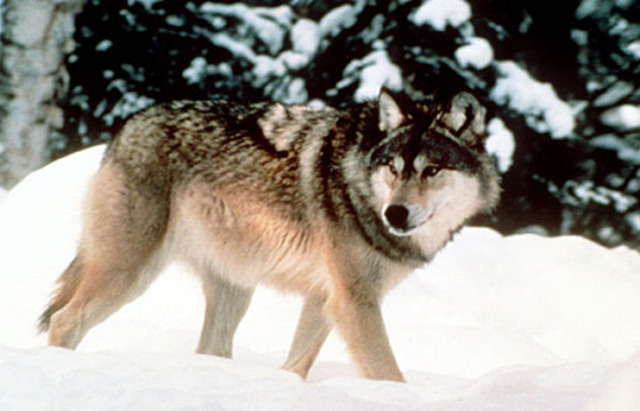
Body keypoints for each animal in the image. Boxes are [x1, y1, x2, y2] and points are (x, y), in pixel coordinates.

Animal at [39, 88, 500, 382]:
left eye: (431, 170)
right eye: (394, 168)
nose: (396, 213)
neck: (357, 180)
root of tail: (126, 127)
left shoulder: (325, 299)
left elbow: (296, 364)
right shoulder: (354, 302)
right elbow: (388, 374)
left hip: (234, 292)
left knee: (210, 350)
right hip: (129, 274)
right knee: (64, 321)